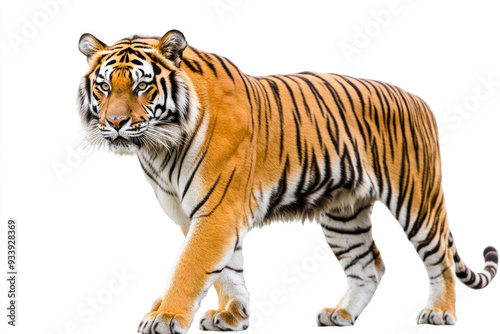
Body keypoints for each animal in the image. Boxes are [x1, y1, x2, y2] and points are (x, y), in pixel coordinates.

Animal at [77, 30, 496, 332]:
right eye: (104, 86)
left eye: (142, 86)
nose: (115, 122)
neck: (160, 148)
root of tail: (419, 99)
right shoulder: (199, 214)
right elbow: (227, 271)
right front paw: (233, 315)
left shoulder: (216, 211)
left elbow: (190, 267)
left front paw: (164, 317)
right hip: (343, 215)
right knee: (370, 265)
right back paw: (341, 315)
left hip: (417, 199)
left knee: (439, 257)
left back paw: (439, 312)